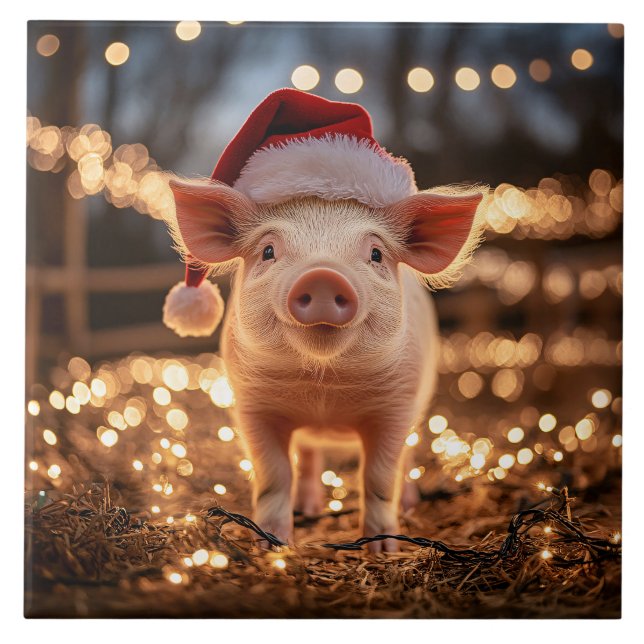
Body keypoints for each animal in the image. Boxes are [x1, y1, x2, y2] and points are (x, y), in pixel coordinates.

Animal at [165, 178, 485, 552]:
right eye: (268, 251)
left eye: (376, 254)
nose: (322, 276)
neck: (323, 390)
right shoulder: (251, 407)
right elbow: (274, 474)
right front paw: (271, 545)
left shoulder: (398, 406)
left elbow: (379, 476)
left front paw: (383, 551)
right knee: (307, 457)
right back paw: (308, 508)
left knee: (407, 456)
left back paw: (408, 504)